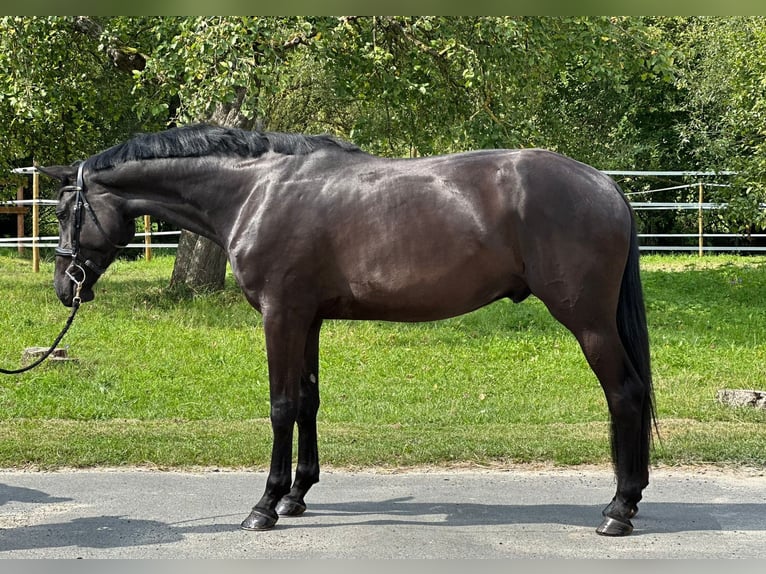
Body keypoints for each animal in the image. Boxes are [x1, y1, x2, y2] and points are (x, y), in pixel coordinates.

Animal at [40, 124, 656, 536]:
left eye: (67, 209)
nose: (65, 288)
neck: (255, 191)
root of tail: (605, 185)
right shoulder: (307, 318)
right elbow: (308, 401)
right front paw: (297, 495)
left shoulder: (280, 314)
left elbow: (281, 405)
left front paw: (264, 506)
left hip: (588, 322)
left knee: (625, 395)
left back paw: (618, 511)